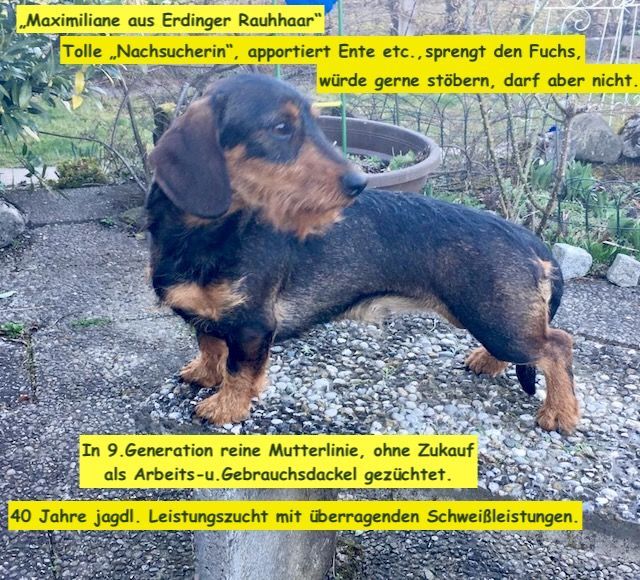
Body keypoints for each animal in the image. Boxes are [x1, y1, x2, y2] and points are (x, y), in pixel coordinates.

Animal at [146, 73, 580, 434]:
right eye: (281, 128)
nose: (359, 183)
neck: (208, 234)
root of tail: (528, 240)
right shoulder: (210, 317)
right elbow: (210, 344)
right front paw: (205, 373)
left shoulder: (253, 326)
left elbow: (238, 370)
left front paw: (224, 407)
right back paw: (489, 363)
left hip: (497, 322)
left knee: (557, 345)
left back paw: (560, 413)